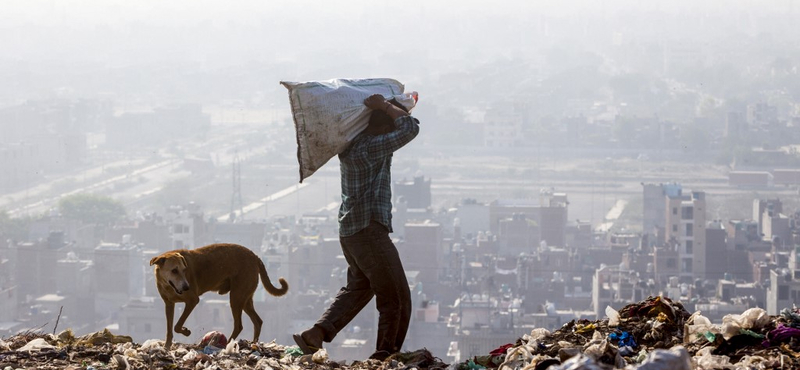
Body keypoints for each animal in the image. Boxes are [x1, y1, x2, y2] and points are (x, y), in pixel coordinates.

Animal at [148, 244, 290, 348]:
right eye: (174, 271)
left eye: (184, 270)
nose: (186, 287)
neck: (168, 285)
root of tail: (255, 257)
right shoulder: (169, 304)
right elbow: (169, 329)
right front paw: (166, 347)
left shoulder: (193, 300)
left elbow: (177, 325)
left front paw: (186, 331)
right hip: (245, 299)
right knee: (258, 321)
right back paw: (253, 344)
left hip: (236, 297)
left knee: (239, 325)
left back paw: (227, 344)